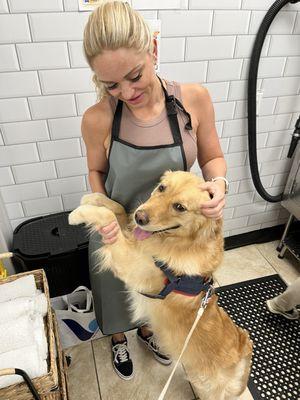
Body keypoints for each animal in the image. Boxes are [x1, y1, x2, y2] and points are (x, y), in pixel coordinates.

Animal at [69, 170, 252, 398]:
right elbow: (118, 209)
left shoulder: (135, 264)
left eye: (180, 207)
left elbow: (109, 217)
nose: (140, 217)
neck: (179, 242)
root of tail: (245, 348)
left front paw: (80, 213)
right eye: (162, 187)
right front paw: (94, 198)